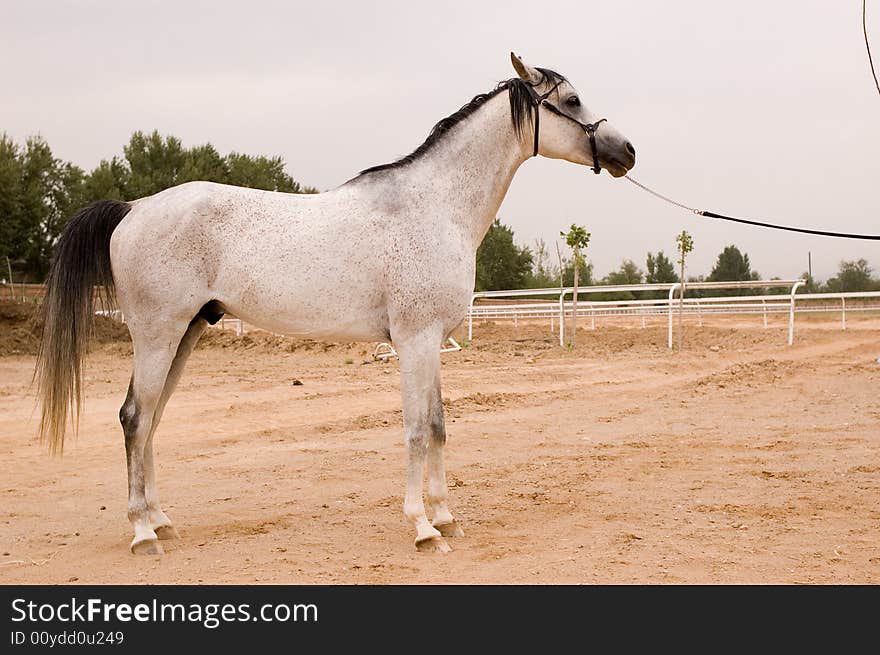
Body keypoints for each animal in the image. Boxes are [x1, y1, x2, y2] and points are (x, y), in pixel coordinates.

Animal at [37, 53, 636, 556]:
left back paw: (161, 521)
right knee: (135, 418)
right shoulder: (415, 341)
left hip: (185, 334)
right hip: (157, 335)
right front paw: (422, 527)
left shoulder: (433, 342)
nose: (627, 151)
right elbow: (416, 429)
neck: (433, 206)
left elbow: (439, 425)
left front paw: (447, 518)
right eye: (573, 100)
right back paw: (142, 533)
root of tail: (133, 208)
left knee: (152, 420)